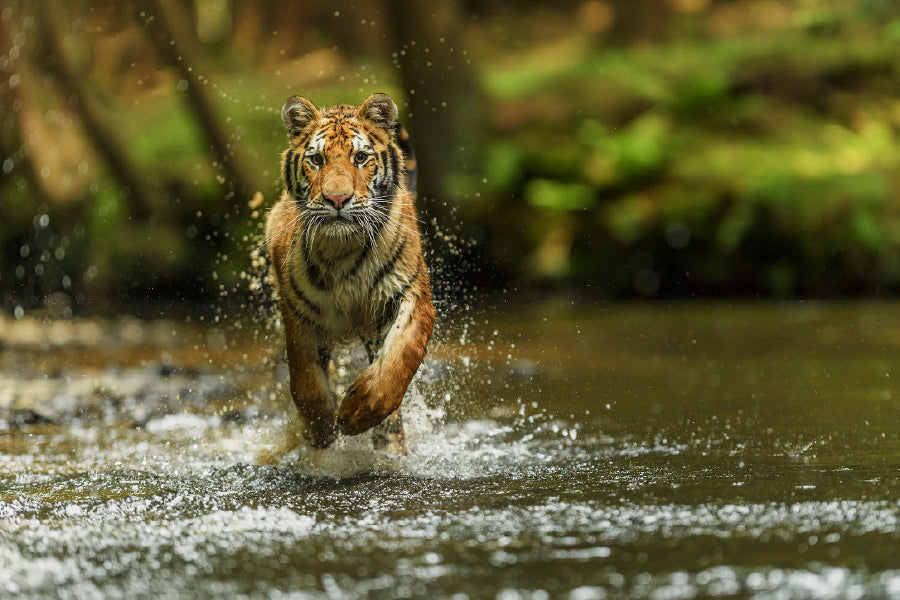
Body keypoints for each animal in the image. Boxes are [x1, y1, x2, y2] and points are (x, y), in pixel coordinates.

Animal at [264, 91, 436, 452]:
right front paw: (321, 429)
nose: (337, 199)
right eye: (316, 160)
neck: (343, 252)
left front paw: (355, 413)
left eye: (360, 158)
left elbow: (399, 360)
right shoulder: (297, 311)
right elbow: (305, 379)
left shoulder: (412, 296)